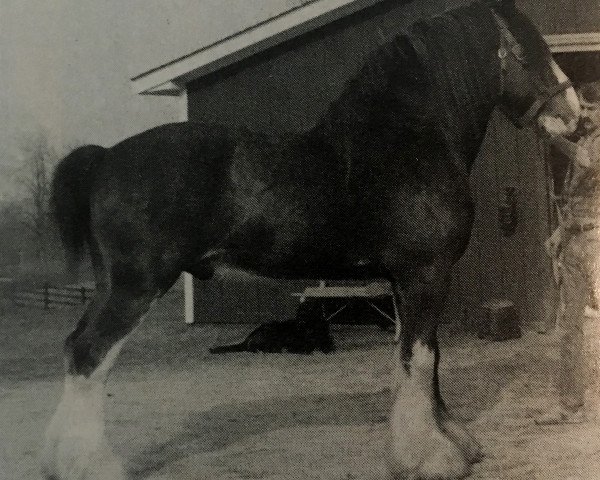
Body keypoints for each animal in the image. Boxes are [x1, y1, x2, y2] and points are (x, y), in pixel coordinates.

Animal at [42, 0, 580, 480]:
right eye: (529, 50)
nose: (578, 117)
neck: (409, 141)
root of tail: (106, 157)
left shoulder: (406, 281)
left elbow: (419, 359)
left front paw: (448, 444)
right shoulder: (425, 275)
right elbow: (422, 357)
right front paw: (432, 459)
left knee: (77, 350)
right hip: (134, 287)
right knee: (88, 355)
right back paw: (90, 467)